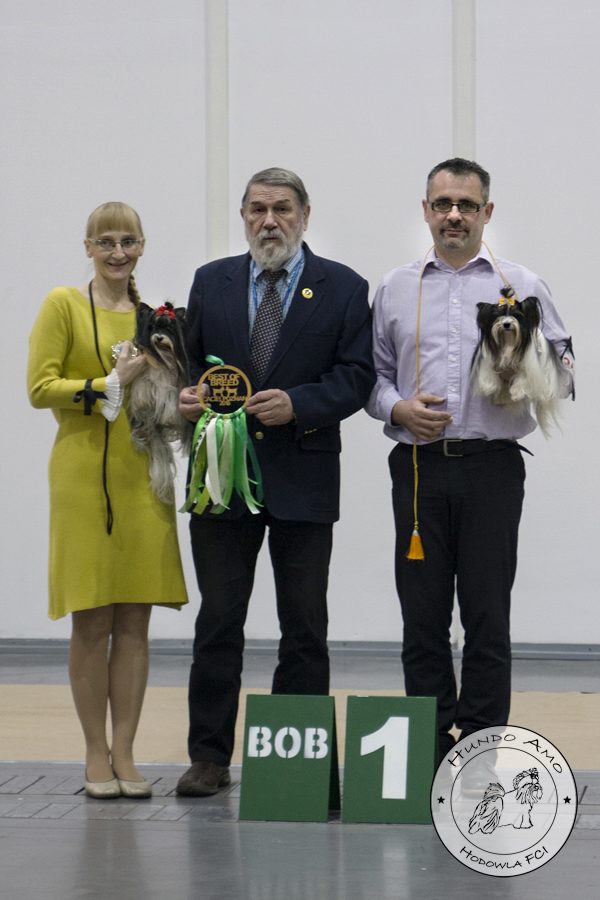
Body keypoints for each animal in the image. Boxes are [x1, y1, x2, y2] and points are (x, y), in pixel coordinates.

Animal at [127, 302, 192, 502]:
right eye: (152, 327)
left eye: (169, 328)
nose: (160, 337)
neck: (163, 355)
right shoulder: (144, 381)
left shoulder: (171, 388)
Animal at [470, 287, 571, 437]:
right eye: (497, 316)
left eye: (517, 315)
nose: (506, 324)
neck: (509, 341)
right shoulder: (487, 356)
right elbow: (487, 370)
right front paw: (489, 386)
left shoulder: (529, 363)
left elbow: (523, 375)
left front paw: (517, 393)